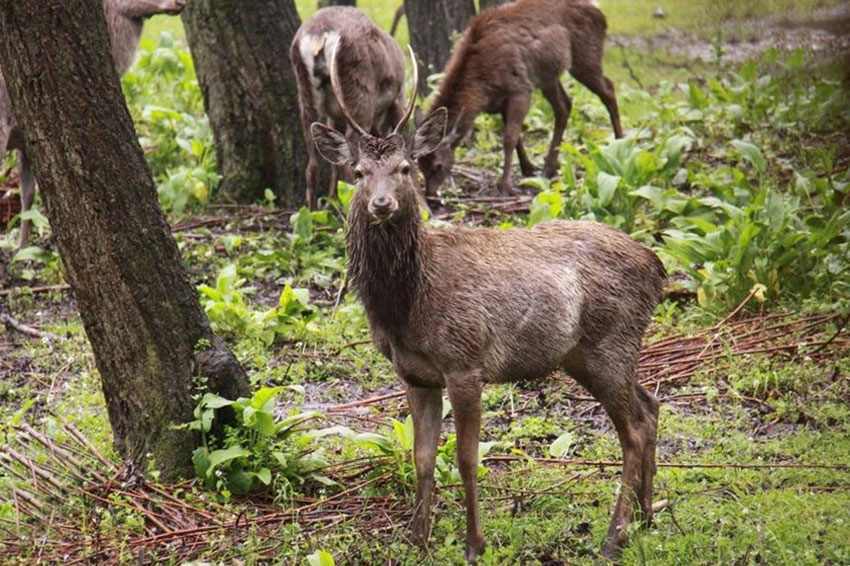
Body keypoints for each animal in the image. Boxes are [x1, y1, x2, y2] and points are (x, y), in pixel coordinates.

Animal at [288, 6, 414, 211]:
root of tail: (321, 36)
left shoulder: (334, 115)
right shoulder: (398, 99)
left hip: (307, 95)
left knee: (313, 164)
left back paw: (317, 211)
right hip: (359, 95)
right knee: (348, 160)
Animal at [310, 57, 664, 564]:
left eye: (404, 168)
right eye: (357, 172)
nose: (382, 203)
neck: (407, 306)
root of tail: (658, 267)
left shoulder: (465, 361)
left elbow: (465, 458)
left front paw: (474, 543)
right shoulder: (414, 374)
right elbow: (421, 456)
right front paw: (417, 538)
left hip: (609, 342)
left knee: (632, 428)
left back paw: (614, 537)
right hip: (587, 353)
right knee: (651, 405)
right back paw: (648, 517)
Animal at [418, 0, 624, 199]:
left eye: (437, 165)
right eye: (420, 165)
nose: (430, 194)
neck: (482, 87)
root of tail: (598, 10)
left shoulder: (520, 88)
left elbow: (509, 137)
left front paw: (505, 186)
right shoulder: (502, 100)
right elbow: (516, 137)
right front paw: (528, 169)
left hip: (585, 56)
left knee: (609, 89)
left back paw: (621, 142)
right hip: (547, 76)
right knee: (564, 106)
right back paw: (549, 168)